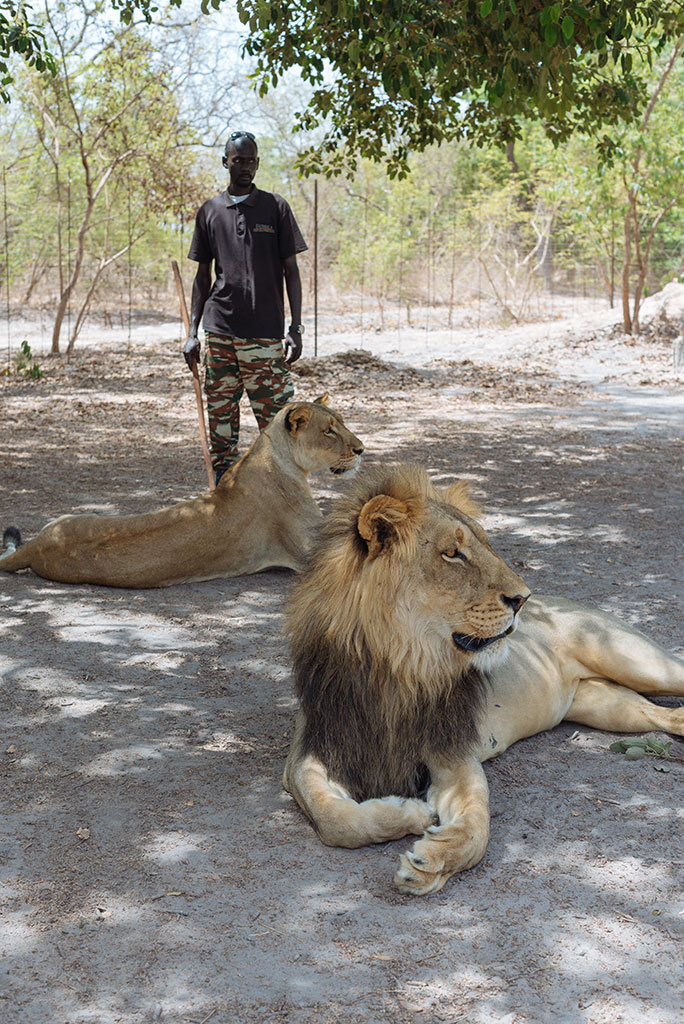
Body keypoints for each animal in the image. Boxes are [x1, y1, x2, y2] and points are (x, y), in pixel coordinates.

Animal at [0, 397, 362, 589]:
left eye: (342, 422)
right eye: (329, 431)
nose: (361, 449)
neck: (280, 458)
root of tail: (37, 547)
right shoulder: (310, 552)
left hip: (66, 518)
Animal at [282, 464, 684, 897]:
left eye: (486, 544)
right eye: (452, 553)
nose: (523, 598)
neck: (398, 670)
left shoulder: (454, 754)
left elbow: (477, 829)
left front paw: (432, 861)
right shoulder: (311, 750)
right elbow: (337, 820)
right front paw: (410, 813)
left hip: (637, 661)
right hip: (605, 707)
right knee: (662, 715)